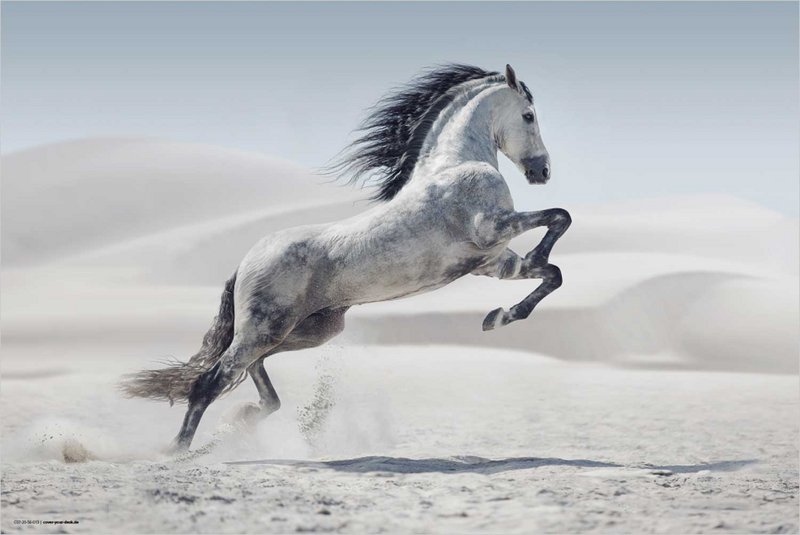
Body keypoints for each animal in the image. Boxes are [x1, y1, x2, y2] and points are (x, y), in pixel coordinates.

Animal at [121, 64, 571, 452]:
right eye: (529, 115)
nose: (543, 171)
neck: (455, 165)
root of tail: (246, 261)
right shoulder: (491, 228)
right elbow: (559, 218)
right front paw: (510, 298)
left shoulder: (493, 263)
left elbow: (552, 273)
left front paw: (498, 317)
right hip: (266, 328)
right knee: (211, 381)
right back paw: (178, 451)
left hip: (307, 331)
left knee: (251, 372)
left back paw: (244, 418)